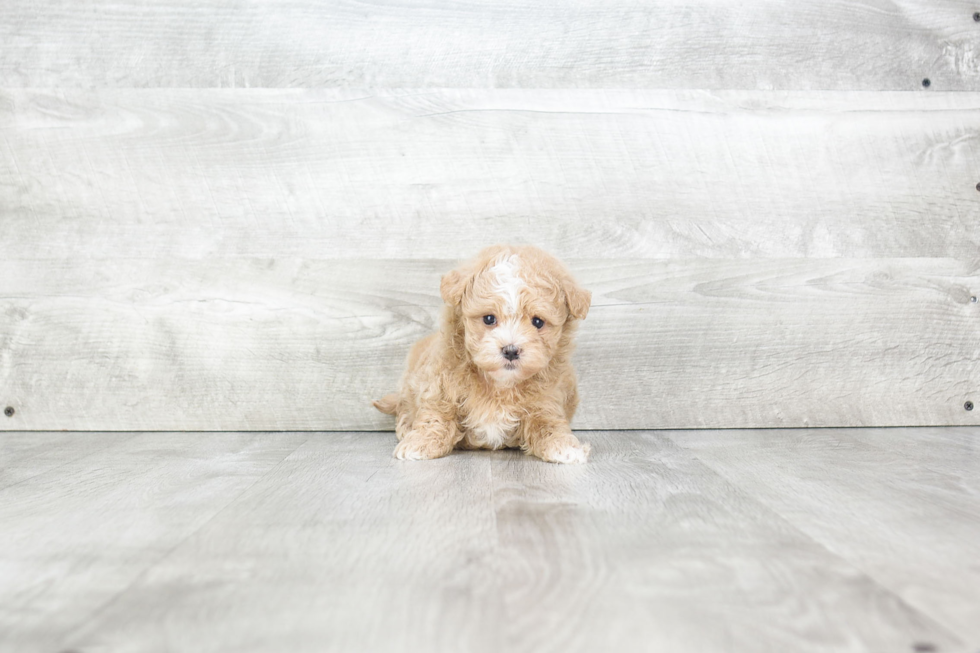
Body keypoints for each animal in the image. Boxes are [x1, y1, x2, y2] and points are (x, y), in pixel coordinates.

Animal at [374, 244, 588, 464]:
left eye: (537, 322)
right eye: (489, 319)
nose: (510, 350)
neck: (500, 384)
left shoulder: (548, 398)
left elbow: (548, 422)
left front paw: (563, 446)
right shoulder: (439, 384)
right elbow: (438, 414)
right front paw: (420, 443)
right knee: (404, 406)